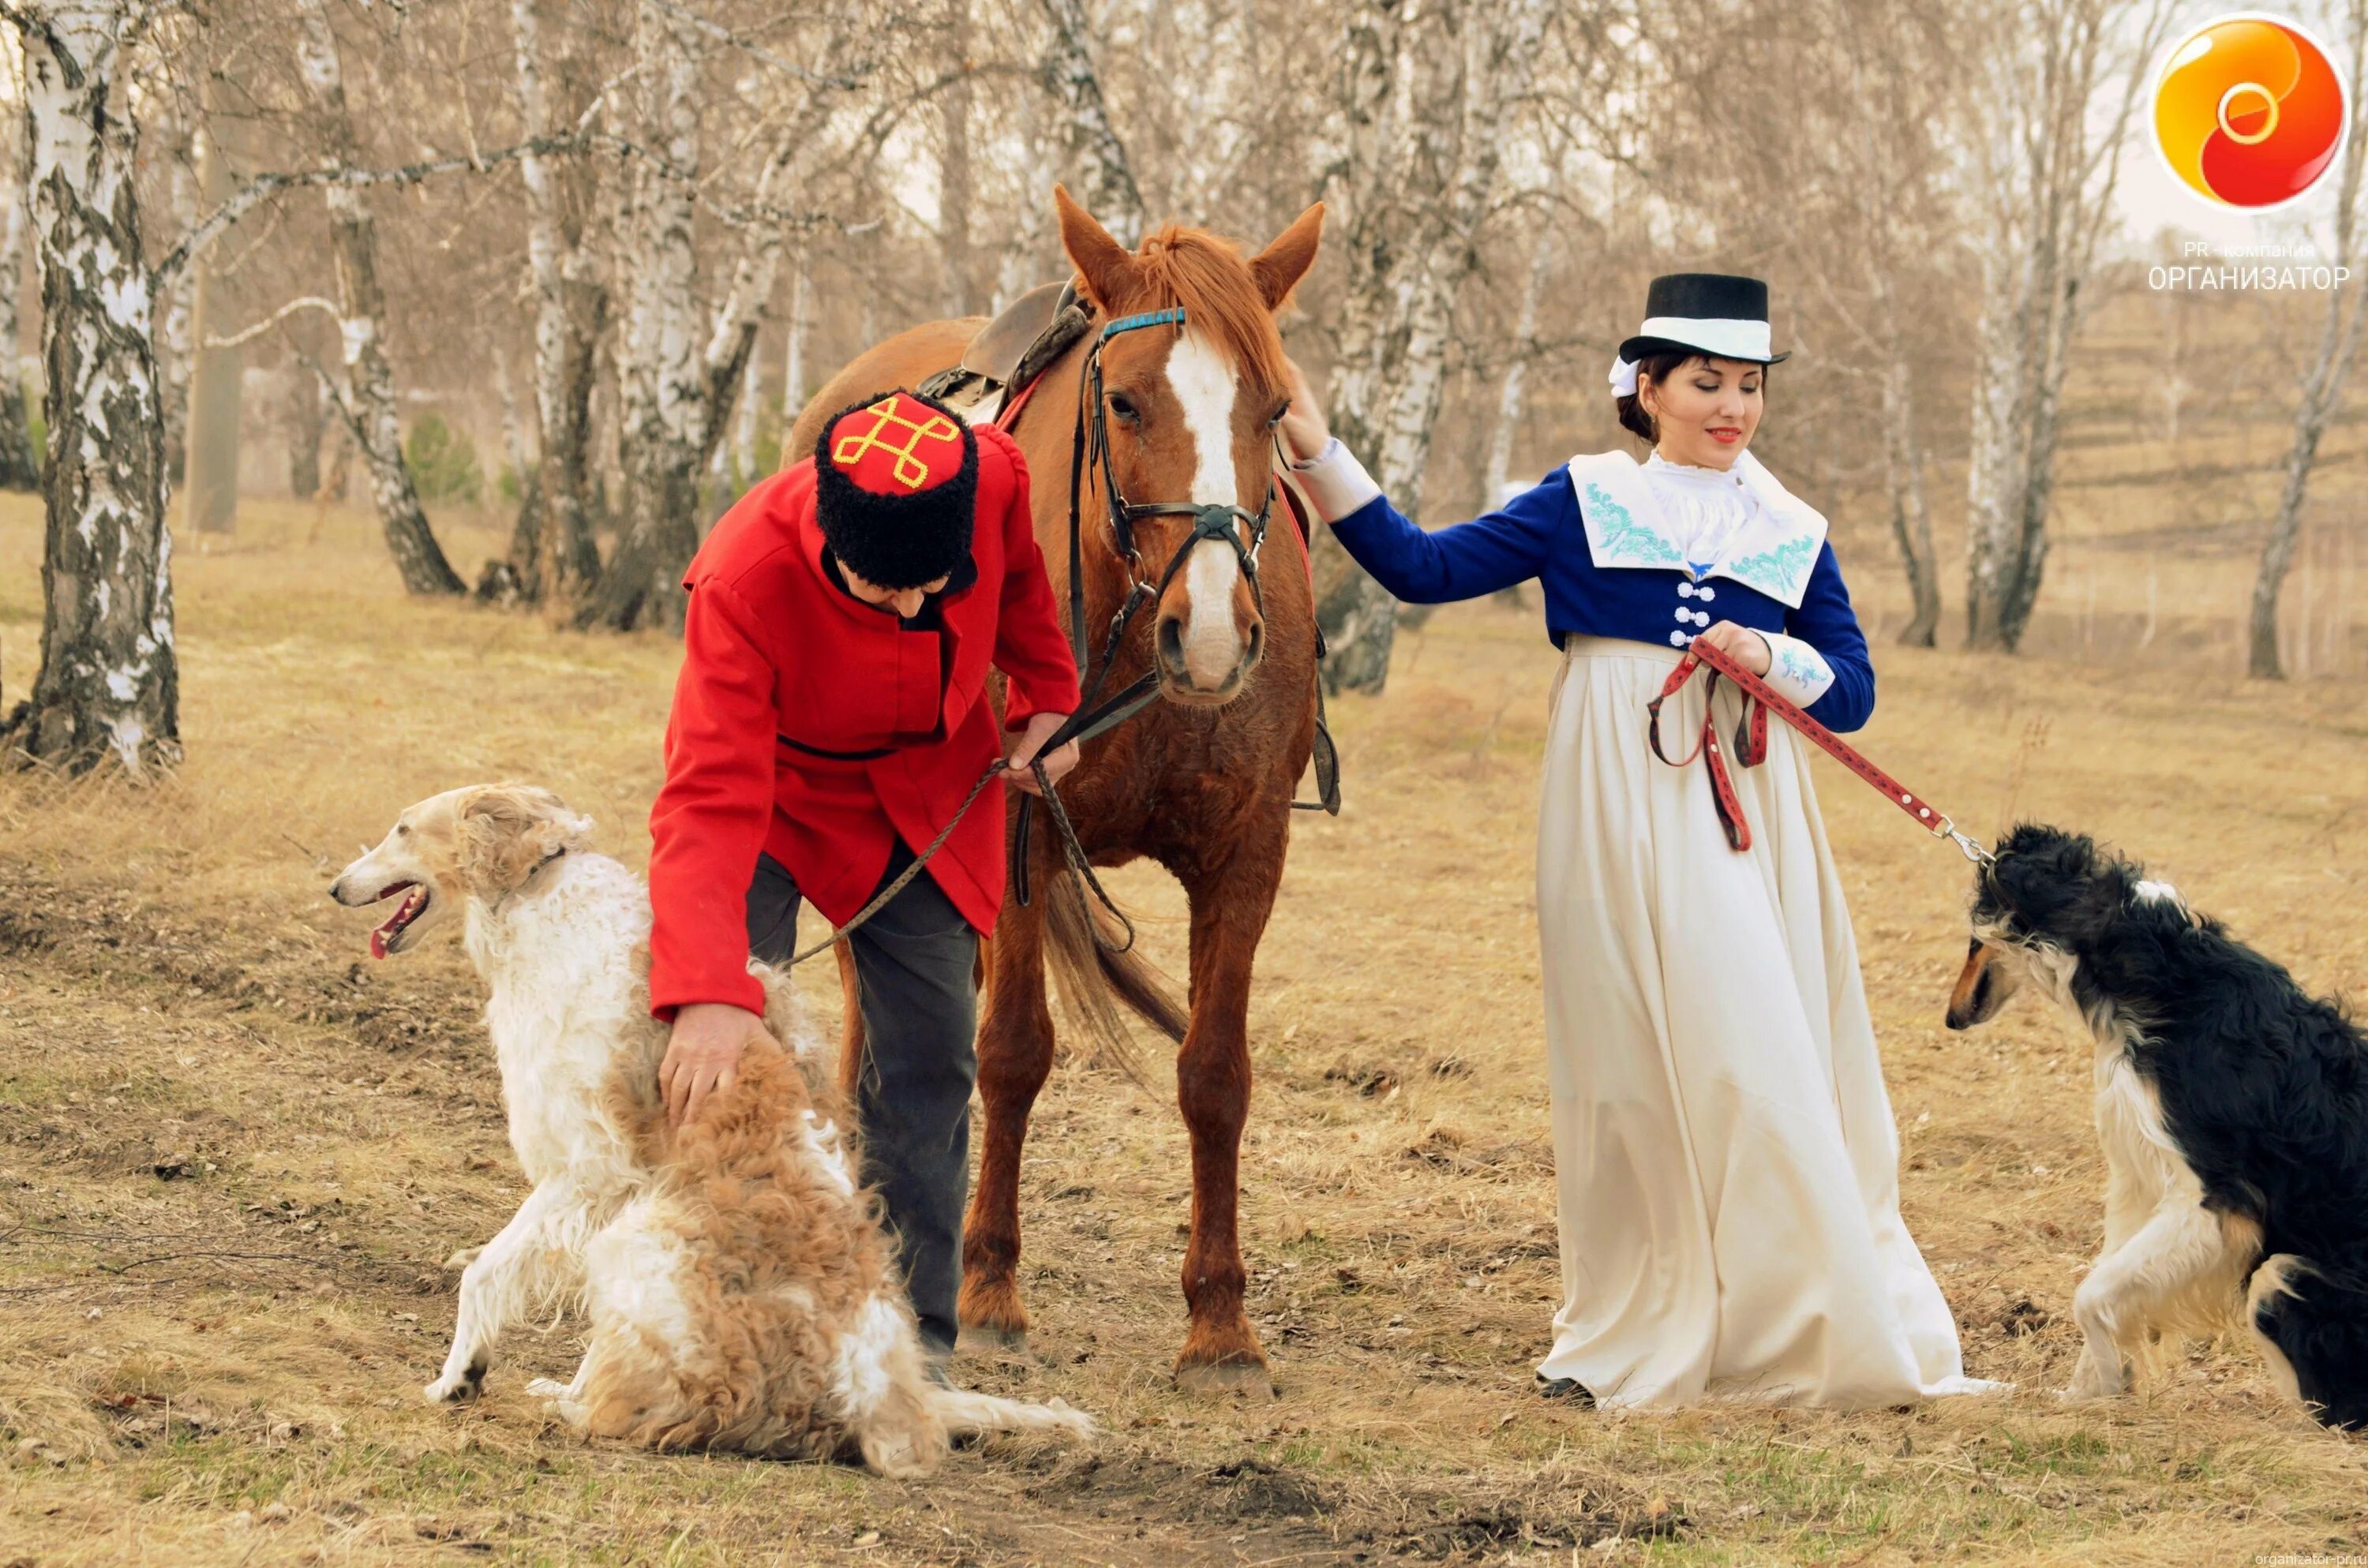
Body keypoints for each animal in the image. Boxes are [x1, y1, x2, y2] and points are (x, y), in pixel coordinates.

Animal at [332, 786, 1089, 1477]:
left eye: (402, 829)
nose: (337, 886)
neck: (546, 900)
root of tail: (876, 1401)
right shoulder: (608, 1184)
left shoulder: (589, 1170)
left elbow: (482, 1272)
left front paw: (456, 1375)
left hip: (637, 1242)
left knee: (675, 1405)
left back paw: (571, 1405)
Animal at [786, 190, 1326, 1392]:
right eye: (1124, 401)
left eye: (1275, 408)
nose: (1211, 634)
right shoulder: (1018, 831)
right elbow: (1013, 1051)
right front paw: (988, 1287)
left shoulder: (1251, 854)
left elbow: (1214, 1073)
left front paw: (1220, 1320)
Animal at [1942, 829, 2368, 1430]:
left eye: (1972, 941)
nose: (1951, 1018)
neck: (2159, 974)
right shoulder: (2136, 1178)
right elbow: (2102, 1285)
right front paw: (2087, 1393)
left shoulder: (2213, 1203)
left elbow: (2089, 1296)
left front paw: (2108, 1388)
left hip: (2283, 1275)